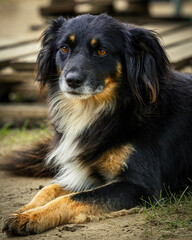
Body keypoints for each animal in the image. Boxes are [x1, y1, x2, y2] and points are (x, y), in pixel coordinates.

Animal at [1, 13, 192, 236]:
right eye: (64, 48)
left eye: (102, 51)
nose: (72, 80)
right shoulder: (90, 172)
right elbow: (50, 188)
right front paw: (25, 210)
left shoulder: (140, 187)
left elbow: (71, 198)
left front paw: (33, 217)